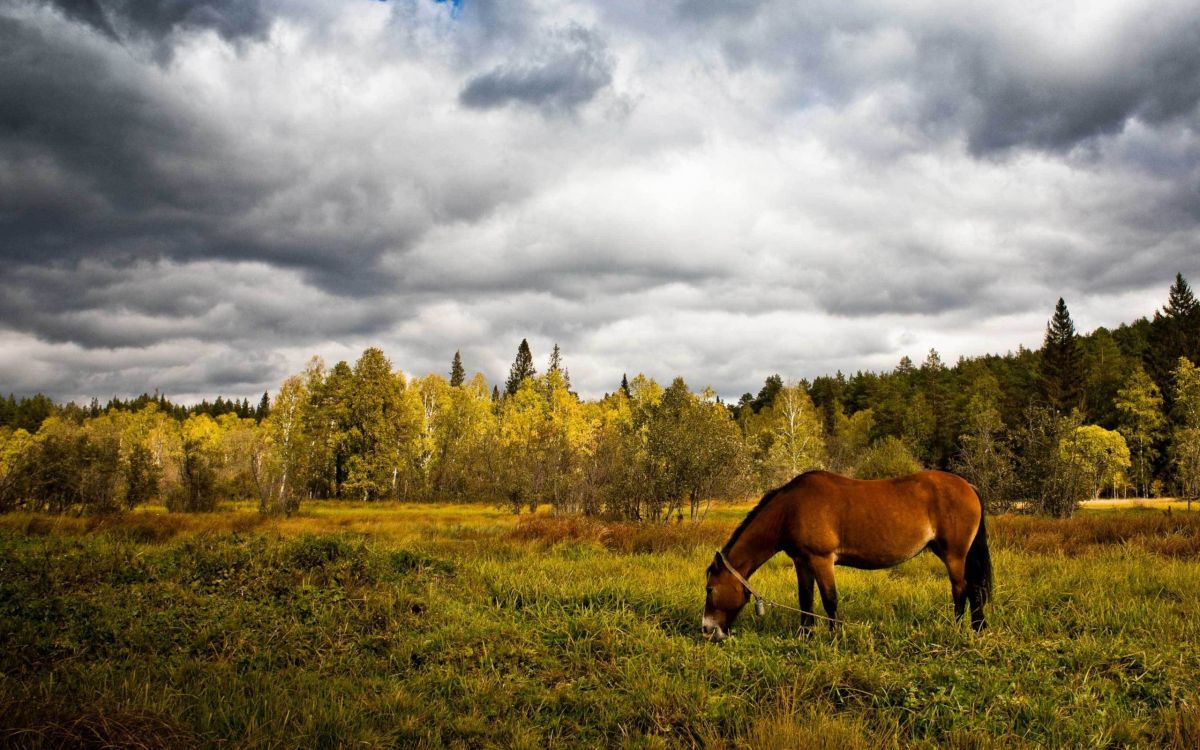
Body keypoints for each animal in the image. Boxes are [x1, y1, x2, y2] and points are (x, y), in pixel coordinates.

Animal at [702, 470, 991, 641]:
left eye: (710, 589)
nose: (706, 629)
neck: (791, 509)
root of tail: (968, 486)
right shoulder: (802, 562)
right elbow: (805, 598)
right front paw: (805, 635)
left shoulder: (822, 560)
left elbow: (829, 600)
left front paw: (835, 635)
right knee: (973, 589)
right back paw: (977, 627)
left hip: (954, 555)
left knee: (961, 589)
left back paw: (958, 628)